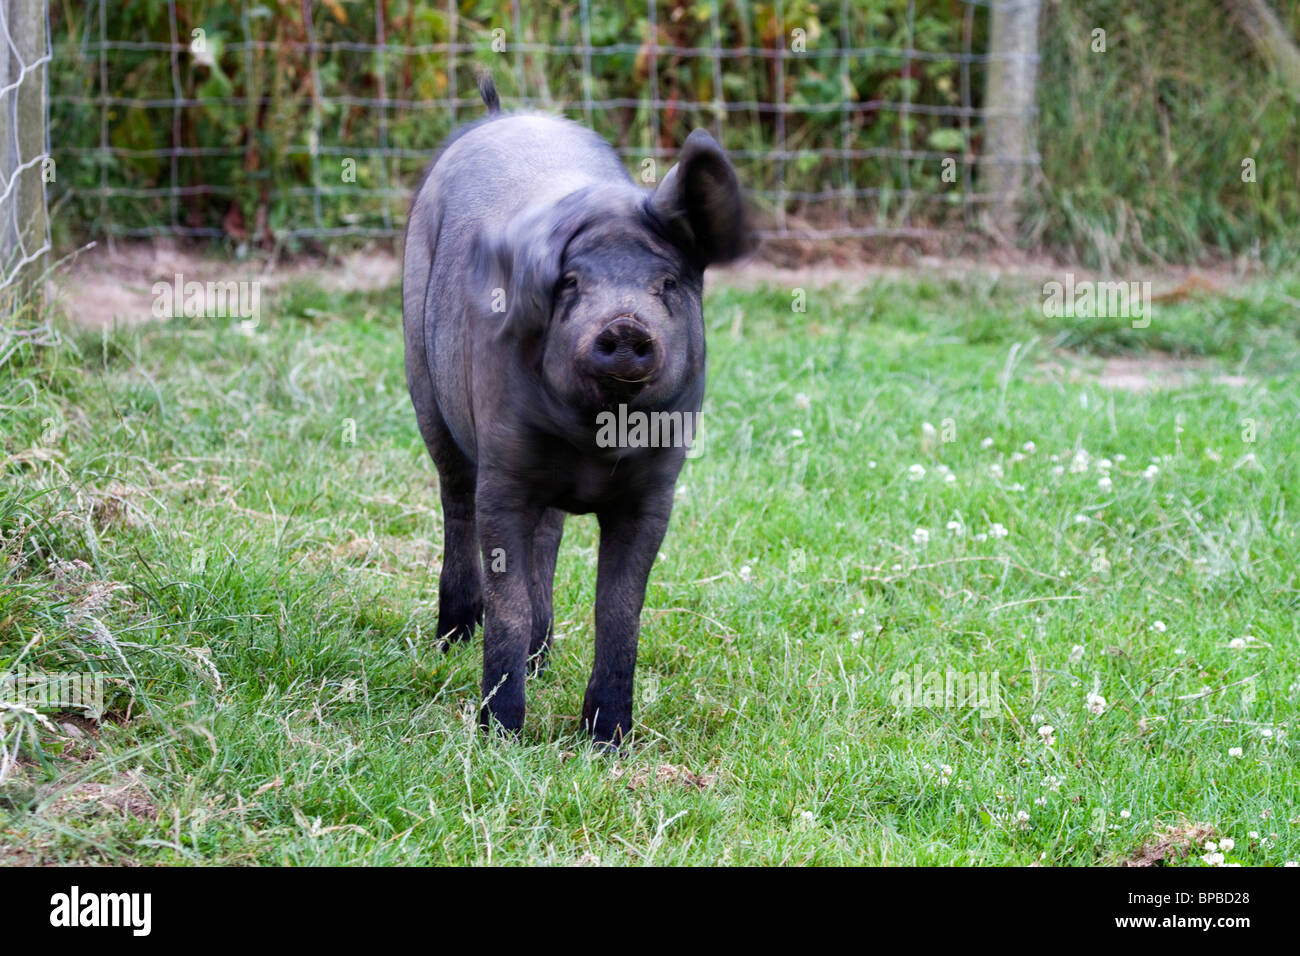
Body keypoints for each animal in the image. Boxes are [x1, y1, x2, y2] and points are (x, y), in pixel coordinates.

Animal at [402, 75, 754, 745]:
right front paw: (500, 736)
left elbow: (618, 608)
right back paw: (451, 641)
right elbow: (508, 602)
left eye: (667, 284)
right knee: (454, 497)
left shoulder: (657, 488)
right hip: (422, 377)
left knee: (550, 533)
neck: (595, 440)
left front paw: (608, 740)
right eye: (570, 283)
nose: (625, 325)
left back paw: (542, 660)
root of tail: (501, 116)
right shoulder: (503, 471)